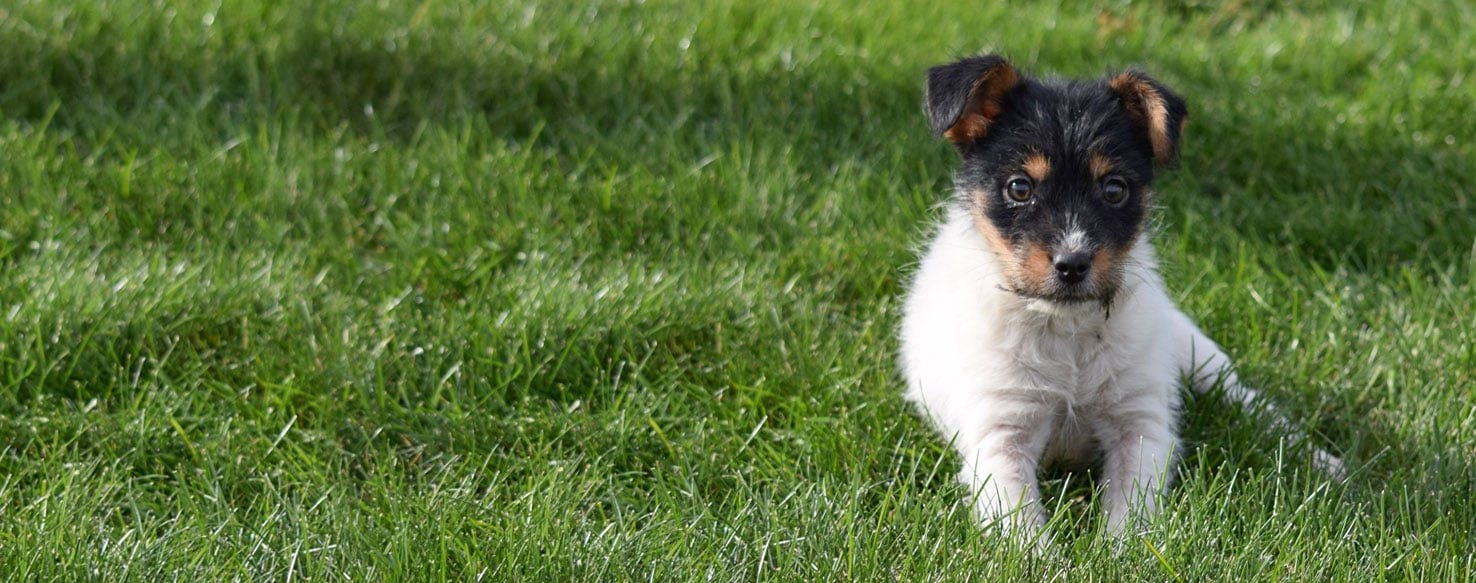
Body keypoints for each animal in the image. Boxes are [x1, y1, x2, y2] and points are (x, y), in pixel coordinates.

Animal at [891, 54, 1346, 540]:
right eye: (1019, 187)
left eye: (1114, 189)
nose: (1072, 264)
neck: (1068, 332)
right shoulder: (1000, 435)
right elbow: (1020, 527)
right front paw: (1043, 555)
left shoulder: (1141, 426)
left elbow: (1132, 510)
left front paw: (1119, 551)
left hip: (1195, 353)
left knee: (1247, 399)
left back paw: (1322, 461)